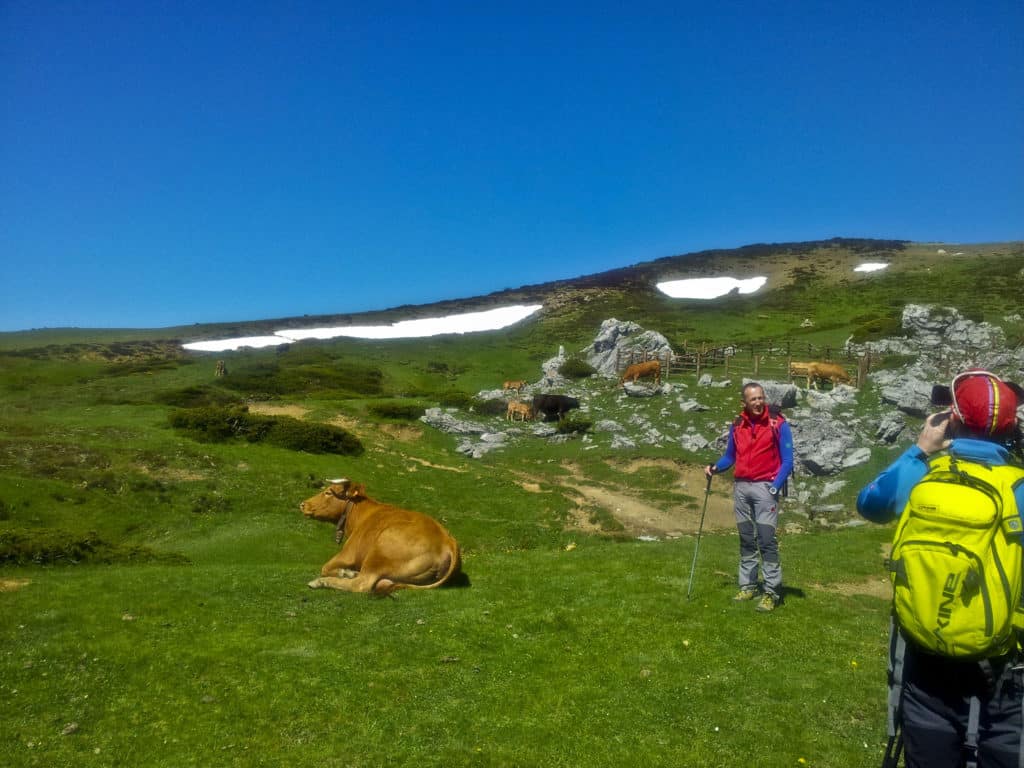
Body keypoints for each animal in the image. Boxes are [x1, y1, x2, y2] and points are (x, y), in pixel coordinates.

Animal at [299, 479, 460, 598]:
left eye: (328, 493)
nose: (303, 504)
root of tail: (448, 541)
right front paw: (347, 572)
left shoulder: (348, 553)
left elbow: (325, 567)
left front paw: (343, 572)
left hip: (381, 548)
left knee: (361, 583)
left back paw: (321, 582)